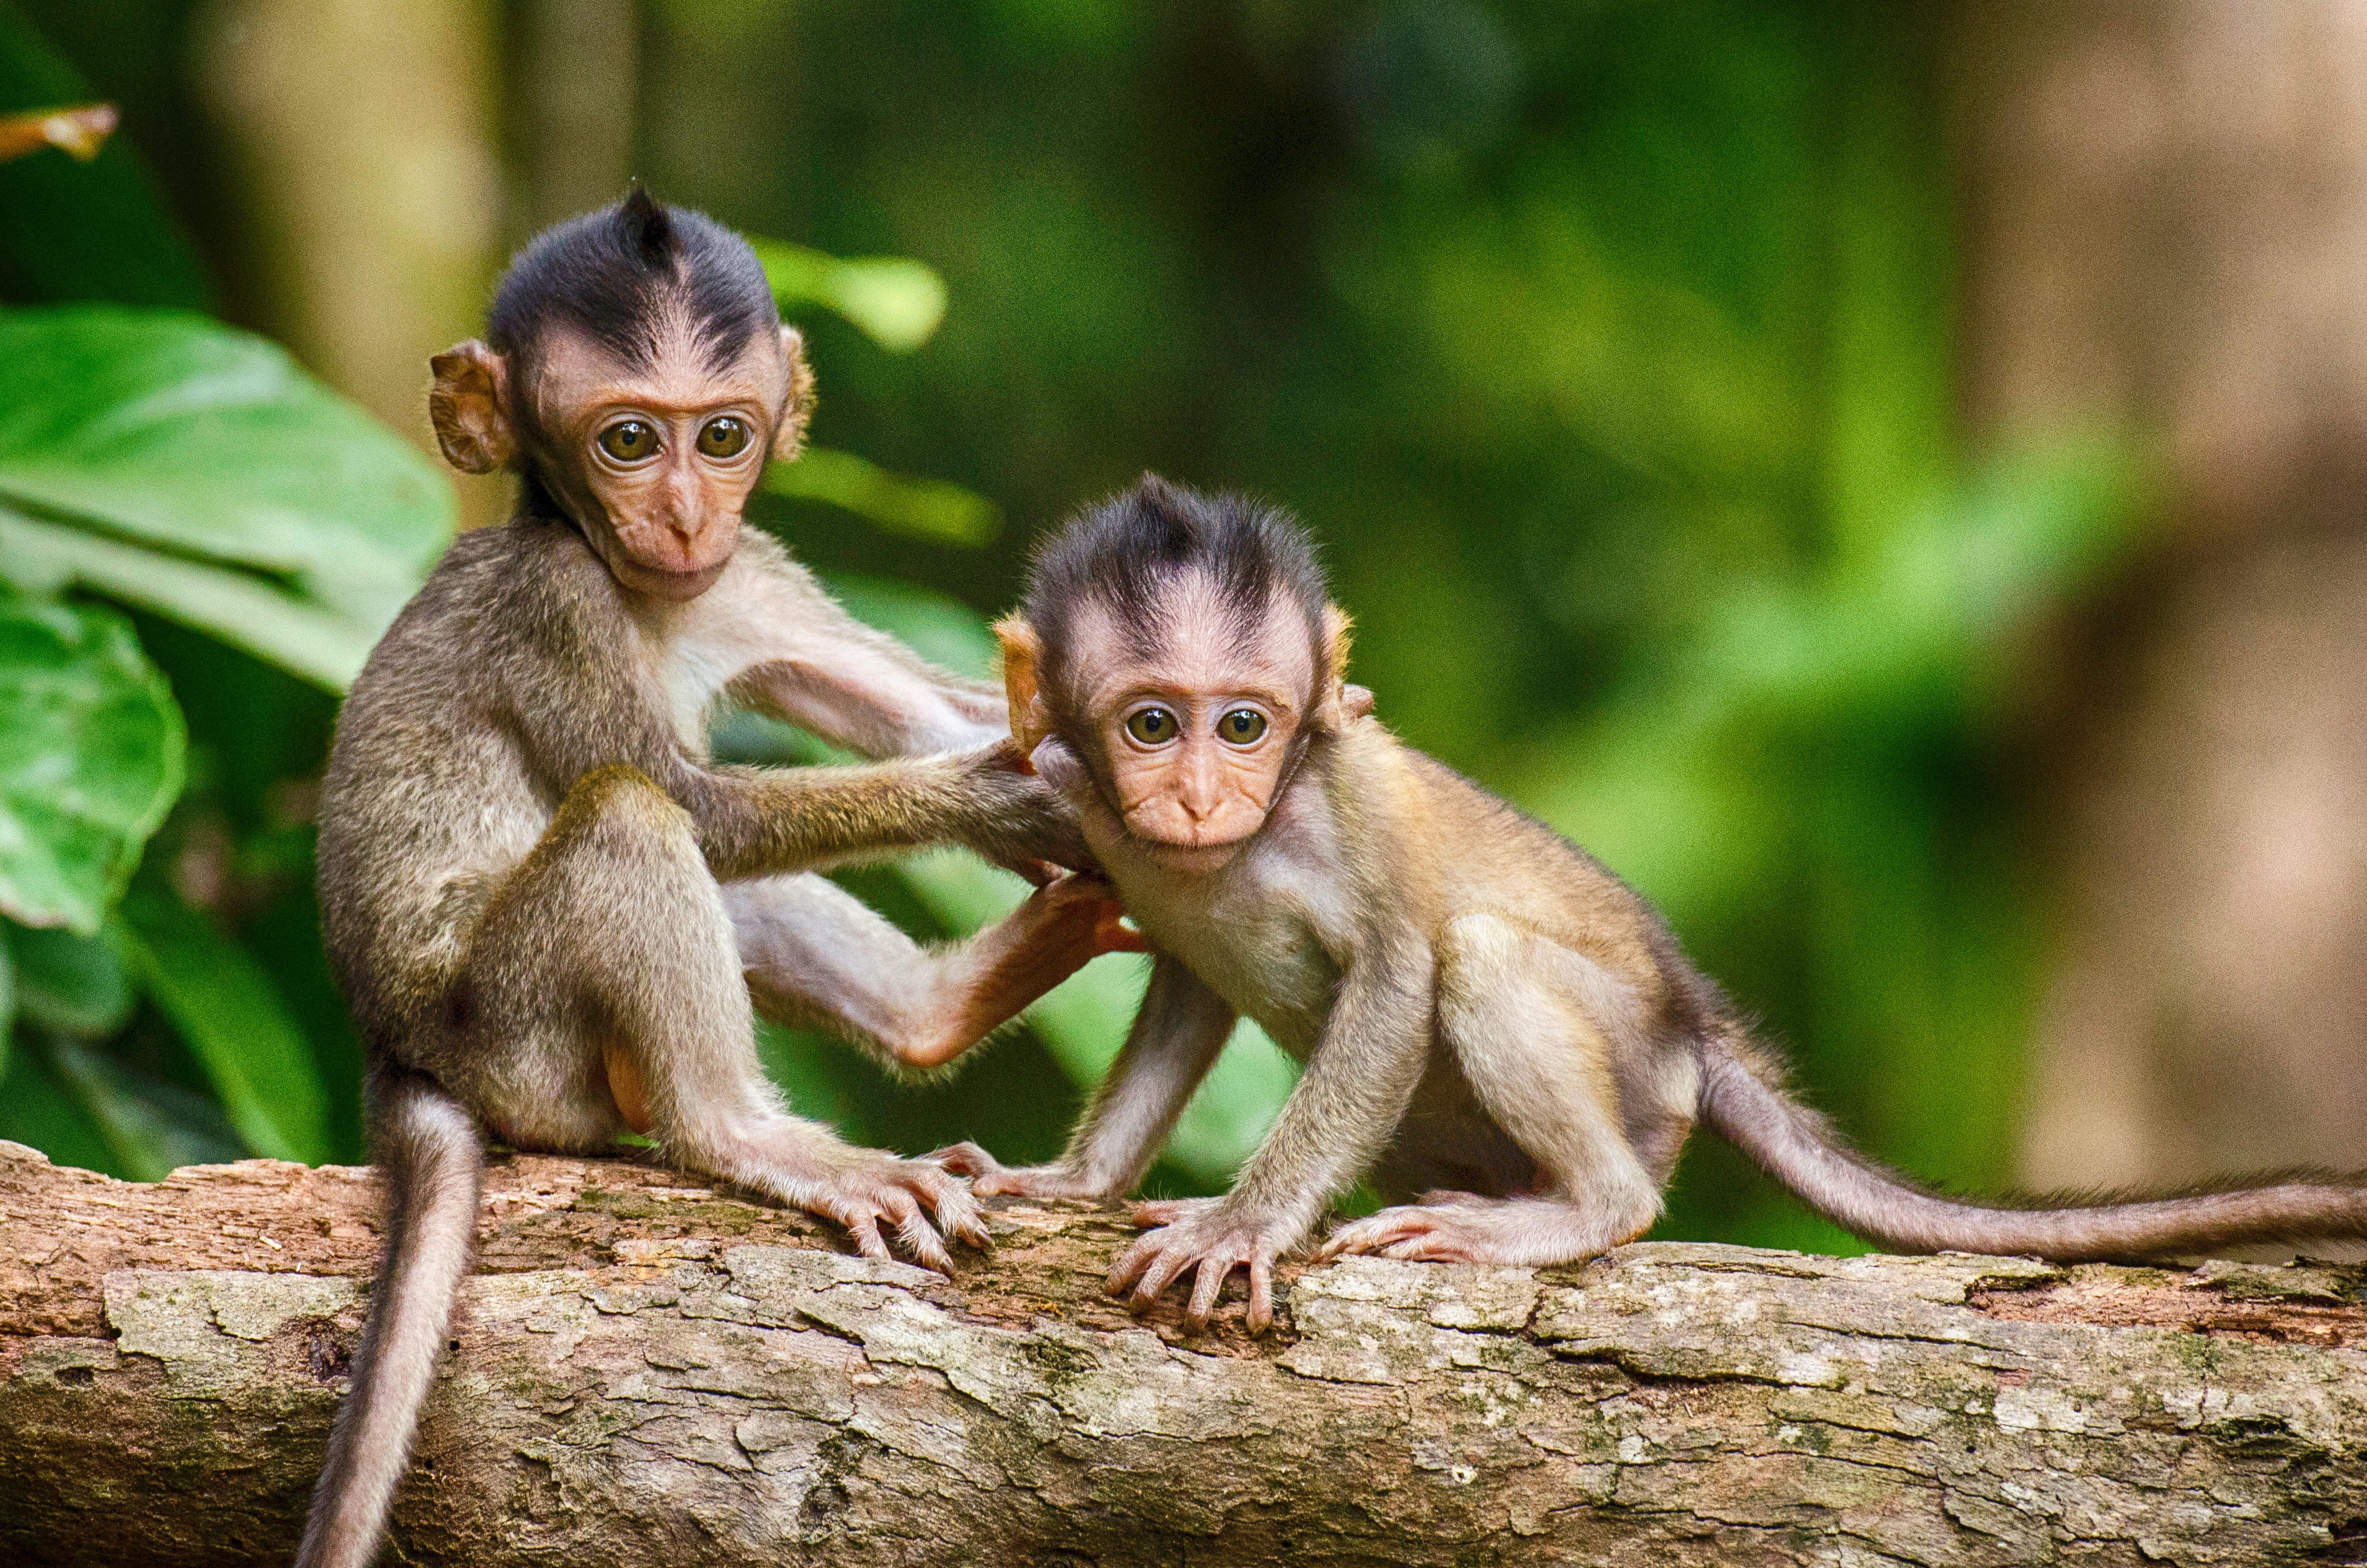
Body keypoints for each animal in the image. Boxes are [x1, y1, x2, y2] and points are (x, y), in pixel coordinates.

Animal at [296, 189, 1134, 1568]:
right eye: (629, 440)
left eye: (724, 434)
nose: (687, 514)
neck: (645, 591)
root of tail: (393, 1047)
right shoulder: (555, 600)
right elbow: (689, 802)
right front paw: (1009, 796)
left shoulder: (753, 574)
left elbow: (921, 710)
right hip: (514, 1036)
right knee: (632, 819)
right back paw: (746, 1133)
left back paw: (938, 1009)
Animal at [933, 475, 2367, 1334]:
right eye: (1152, 724)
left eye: (1244, 724)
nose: (1195, 796)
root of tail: (1694, 1025)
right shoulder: (1092, 815)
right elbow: (1184, 987)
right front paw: (1072, 1180)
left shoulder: (1342, 800)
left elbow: (1398, 975)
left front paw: (1242, 1222)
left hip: (1637, 1073)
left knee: (1485, 958)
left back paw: (1584, 1208)